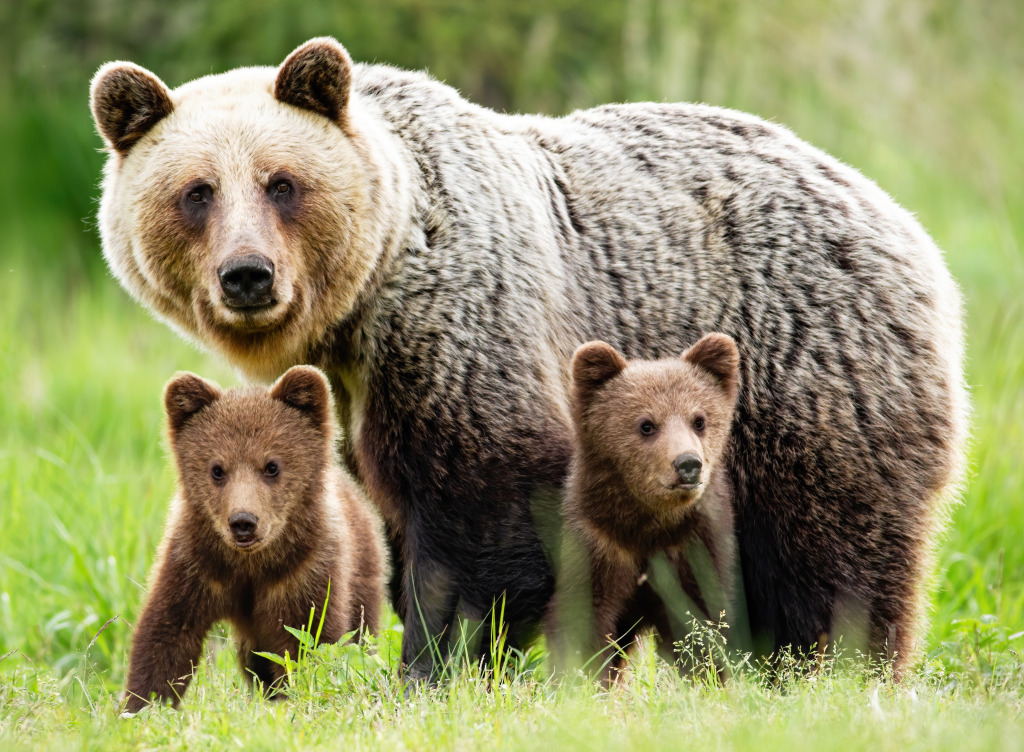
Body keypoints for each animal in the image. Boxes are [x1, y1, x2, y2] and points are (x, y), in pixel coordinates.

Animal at [90, 38, 966, 680]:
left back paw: (831, 670)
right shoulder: (363, 399)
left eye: (281, 183)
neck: (362, 311)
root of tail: (898, 217)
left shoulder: (464, 335)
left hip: (808, 379)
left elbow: (481, 518)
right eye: (197, 191)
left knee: (832, 558)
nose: (248, 275)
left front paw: (434, 668)